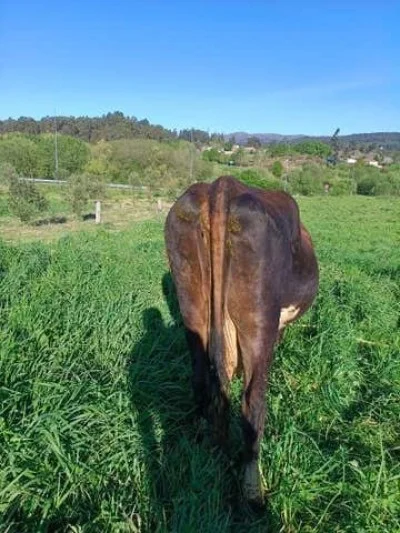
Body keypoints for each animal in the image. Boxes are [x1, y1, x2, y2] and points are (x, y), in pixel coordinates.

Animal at [164, 176, 319, 504]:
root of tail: (222, 187)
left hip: (192, 306)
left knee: (202, 380)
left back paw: (207, 447)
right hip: (259, 321)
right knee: (253, 403)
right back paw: (253, 489)